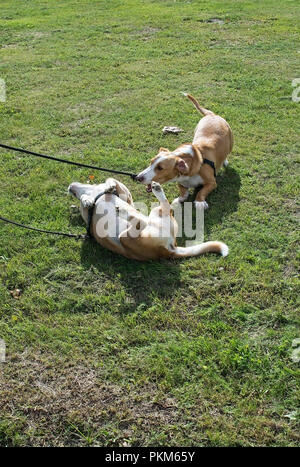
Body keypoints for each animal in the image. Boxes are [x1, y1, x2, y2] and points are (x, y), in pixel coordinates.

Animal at [68, 177, 227, 262]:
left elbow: (111, 180)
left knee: (165, 208)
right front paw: (86, 200)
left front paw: (108, 186)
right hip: (126, 238)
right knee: (140, 221)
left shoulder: (125, 195)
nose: (70, 187)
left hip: (155, 214)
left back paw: (155, 191)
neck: (95, 192)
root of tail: (169, 249)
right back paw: (123, 211)